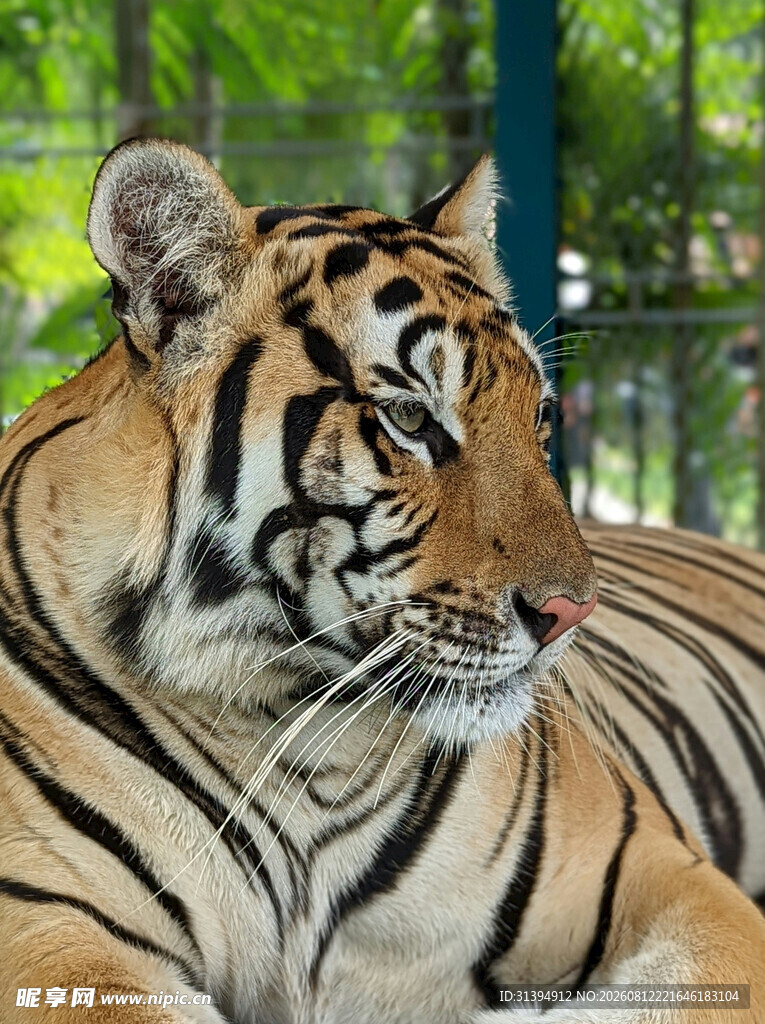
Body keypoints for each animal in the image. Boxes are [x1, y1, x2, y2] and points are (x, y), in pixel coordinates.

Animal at [0, 137, 763, 1024]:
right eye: (409, 419)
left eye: (540, 418)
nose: (572, 612)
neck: (304, 736)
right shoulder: (57, 931)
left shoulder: (678, 883)